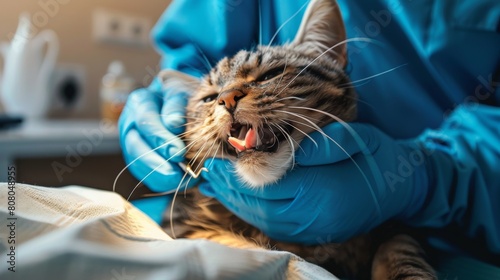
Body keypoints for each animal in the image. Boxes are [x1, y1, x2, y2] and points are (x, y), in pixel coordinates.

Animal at [158, 0, 436, 278]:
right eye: (209, 98)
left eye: (269, 75)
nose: (226, 98)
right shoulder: (183, 224)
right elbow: (240, 248)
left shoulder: (395, 224)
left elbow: (401, 254)